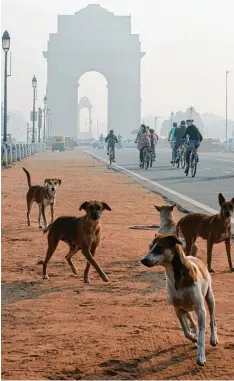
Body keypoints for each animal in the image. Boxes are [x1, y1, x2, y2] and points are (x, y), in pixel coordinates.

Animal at [141, 233, 219, 366]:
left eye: (159, 248)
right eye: (150, 247)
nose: (143, 260)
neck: (176, 277)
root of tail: (193, 257)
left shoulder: (200, 310)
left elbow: (202, 334)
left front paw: (201, 356)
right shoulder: (177, 308)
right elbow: (186, 332)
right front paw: (194, 337)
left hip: (209, 297)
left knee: (212, 318)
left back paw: (213, 338)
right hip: (186, 308)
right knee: (192, 321)